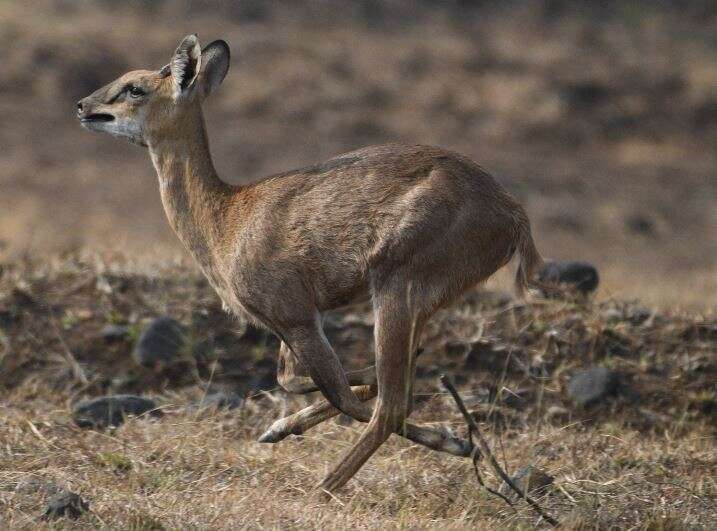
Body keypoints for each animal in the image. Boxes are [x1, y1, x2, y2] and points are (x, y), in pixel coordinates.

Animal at [77, 35, 544, 496]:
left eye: (136, 87)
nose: (82, 106)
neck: (226, 220)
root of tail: (513, 214)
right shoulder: (295, 322)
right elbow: (295, 379)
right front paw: (276, 429)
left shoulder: (295, 317)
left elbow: (338, 393)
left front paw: (456, 441)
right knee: (394, 388)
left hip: (397, 290)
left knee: (391, 406)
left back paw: (332, 483)